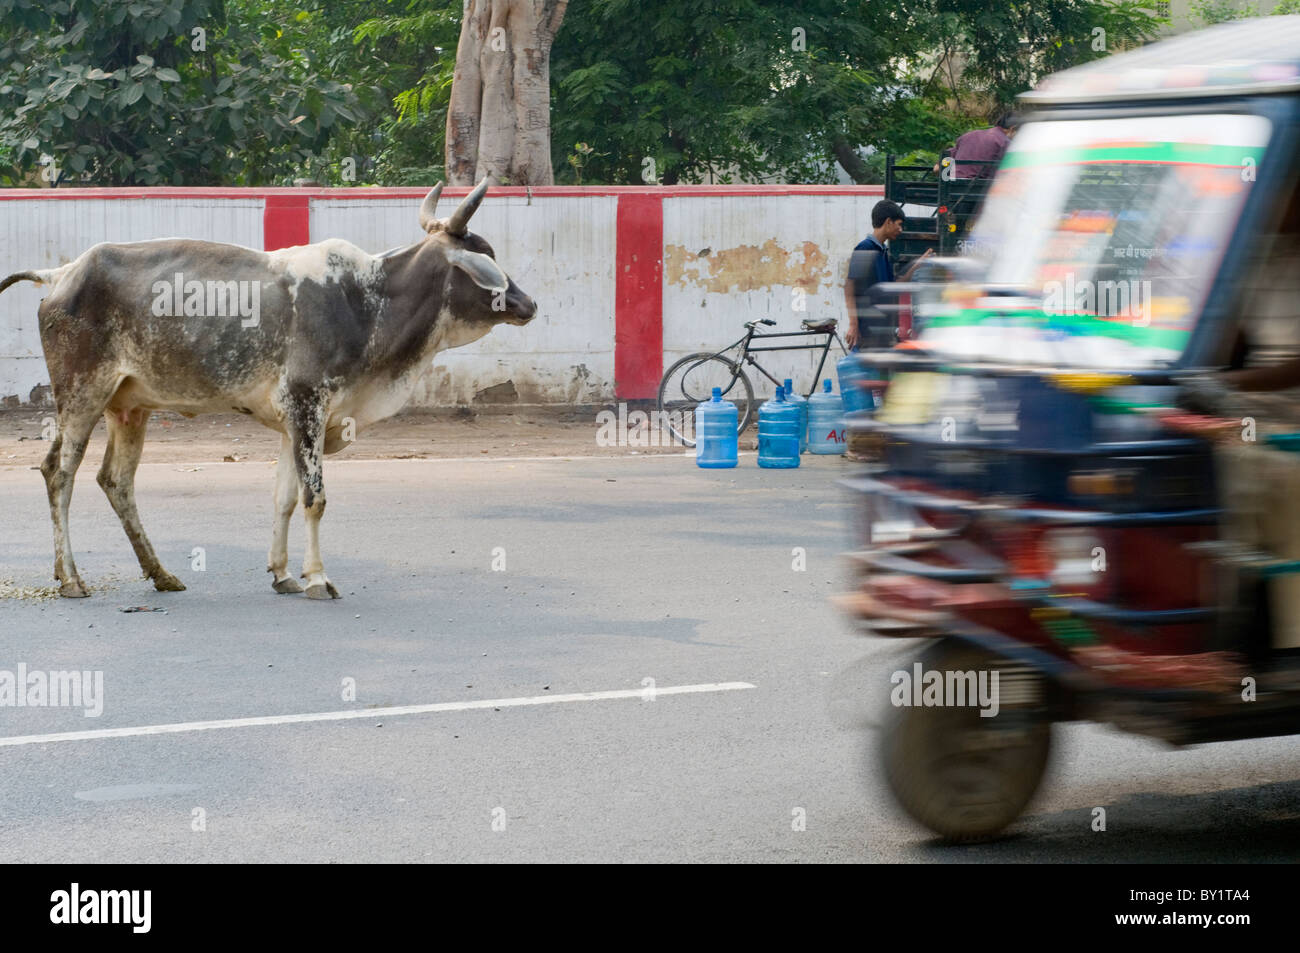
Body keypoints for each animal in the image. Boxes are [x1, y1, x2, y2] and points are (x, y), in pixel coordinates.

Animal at [0, 180, 535, 600]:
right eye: (485, 259)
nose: (528, 303)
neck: (368, 298)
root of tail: (61, 273)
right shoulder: (307, 403)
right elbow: (315, 498)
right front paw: (318, 578)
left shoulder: (295, 421)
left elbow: (284, 497)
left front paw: (283, 574)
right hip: (81, 396)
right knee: (60, 473)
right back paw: (72, 579)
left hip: (128, 407)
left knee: (112, 479)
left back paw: (158, 573)